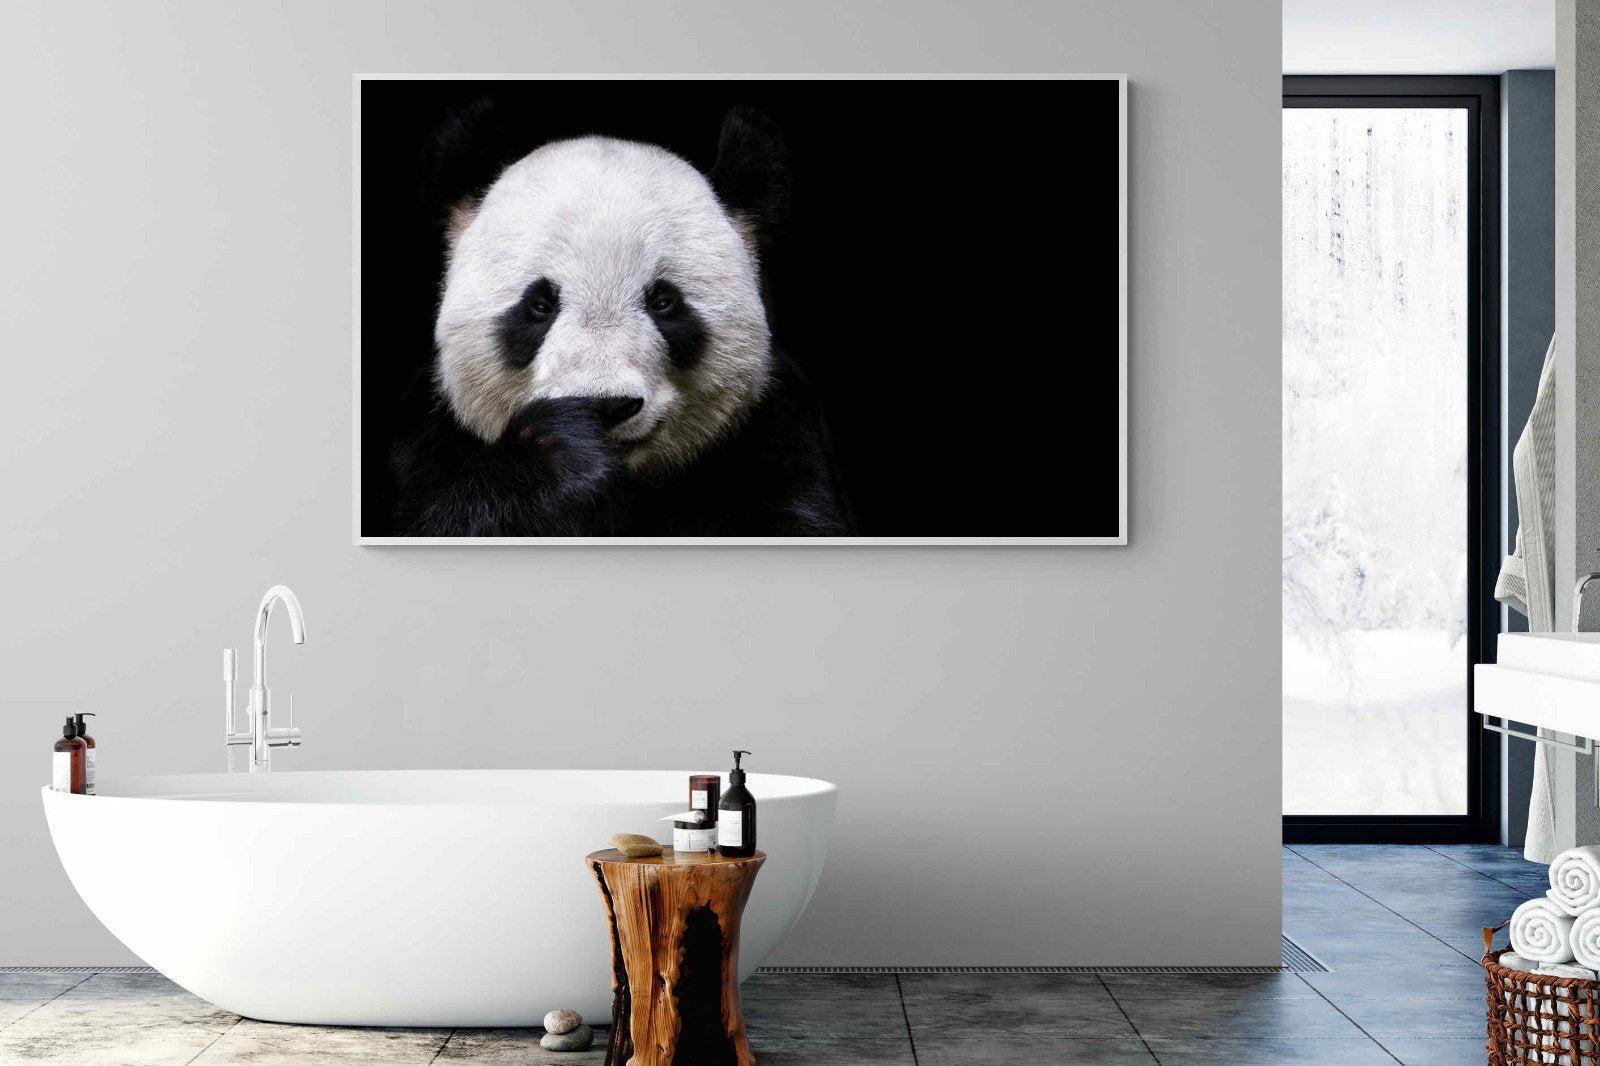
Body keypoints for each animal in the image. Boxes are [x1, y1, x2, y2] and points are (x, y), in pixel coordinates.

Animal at [390, 105, 855, 537]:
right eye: (539, 305)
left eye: (663, 302)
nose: (606, 406)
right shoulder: (428, 440)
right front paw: (561, 450)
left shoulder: (776, 437)